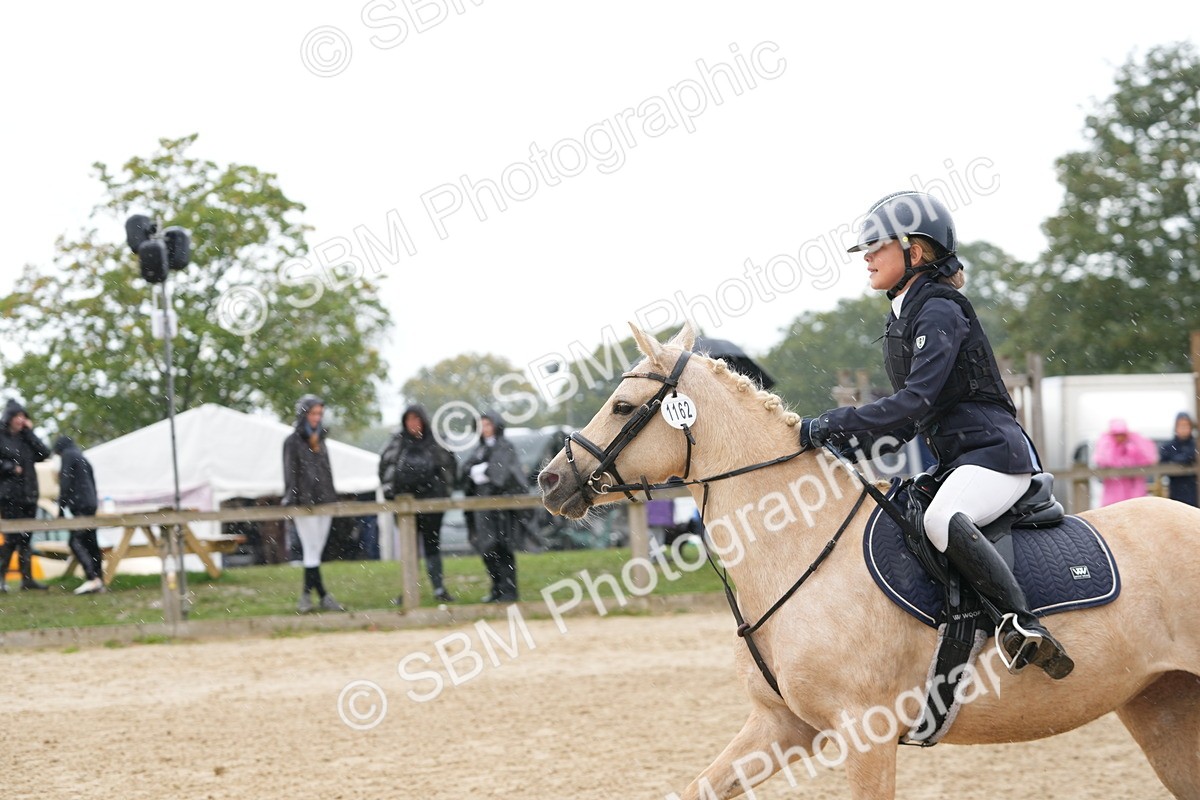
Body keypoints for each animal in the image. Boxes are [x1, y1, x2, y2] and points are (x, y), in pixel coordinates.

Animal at [537, 322, 1200, 800]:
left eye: (623, 406)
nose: (549, 480)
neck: (800, 545)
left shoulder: (865, 735)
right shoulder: (781, 726)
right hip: (1162, 708)